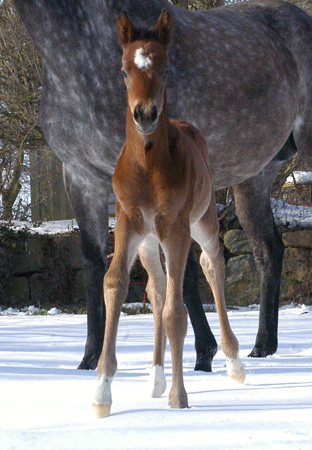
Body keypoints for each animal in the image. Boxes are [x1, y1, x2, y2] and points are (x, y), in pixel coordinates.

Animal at [93, 10, 246, 418]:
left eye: (164, 69)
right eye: (124, 70)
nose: (145, 114)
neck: (147, 166)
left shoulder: (175, 227)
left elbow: (177, 312)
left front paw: (179, 398)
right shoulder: (128, 223)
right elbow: (115, 284)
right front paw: (102, 392)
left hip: (202, 222)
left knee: (212, 267)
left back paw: (234, 363)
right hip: (149, 241)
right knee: (157, 288)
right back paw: (156, 377)